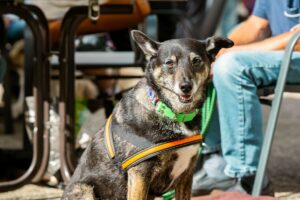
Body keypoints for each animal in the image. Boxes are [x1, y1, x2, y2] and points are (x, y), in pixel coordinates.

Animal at [62, 30, 233, 200]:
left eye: (196, 61)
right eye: (169, 63)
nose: (186, 87)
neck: (170, 111)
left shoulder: (186, 174)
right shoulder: (140, 174)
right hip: (84, 190)